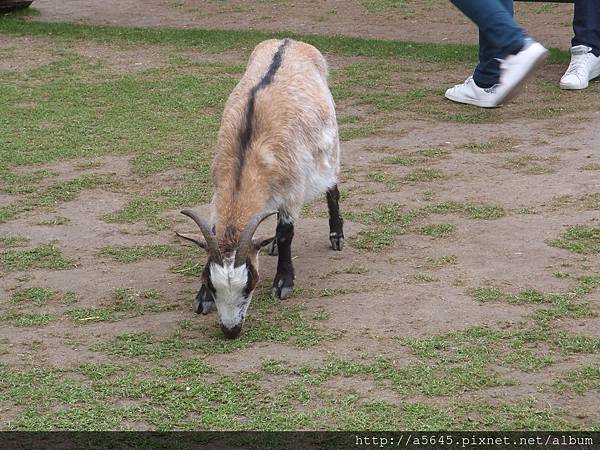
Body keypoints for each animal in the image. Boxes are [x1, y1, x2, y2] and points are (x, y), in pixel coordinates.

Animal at [176, 38, 344, 340]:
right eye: (210, 280)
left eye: (250, 283)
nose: (230, 330)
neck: (248, 150)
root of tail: (288, 41)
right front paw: (202, 298)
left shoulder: (292, 190)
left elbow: (287, 232)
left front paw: (284, 282)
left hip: (331, 148)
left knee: (332, 187)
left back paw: (336, 235)